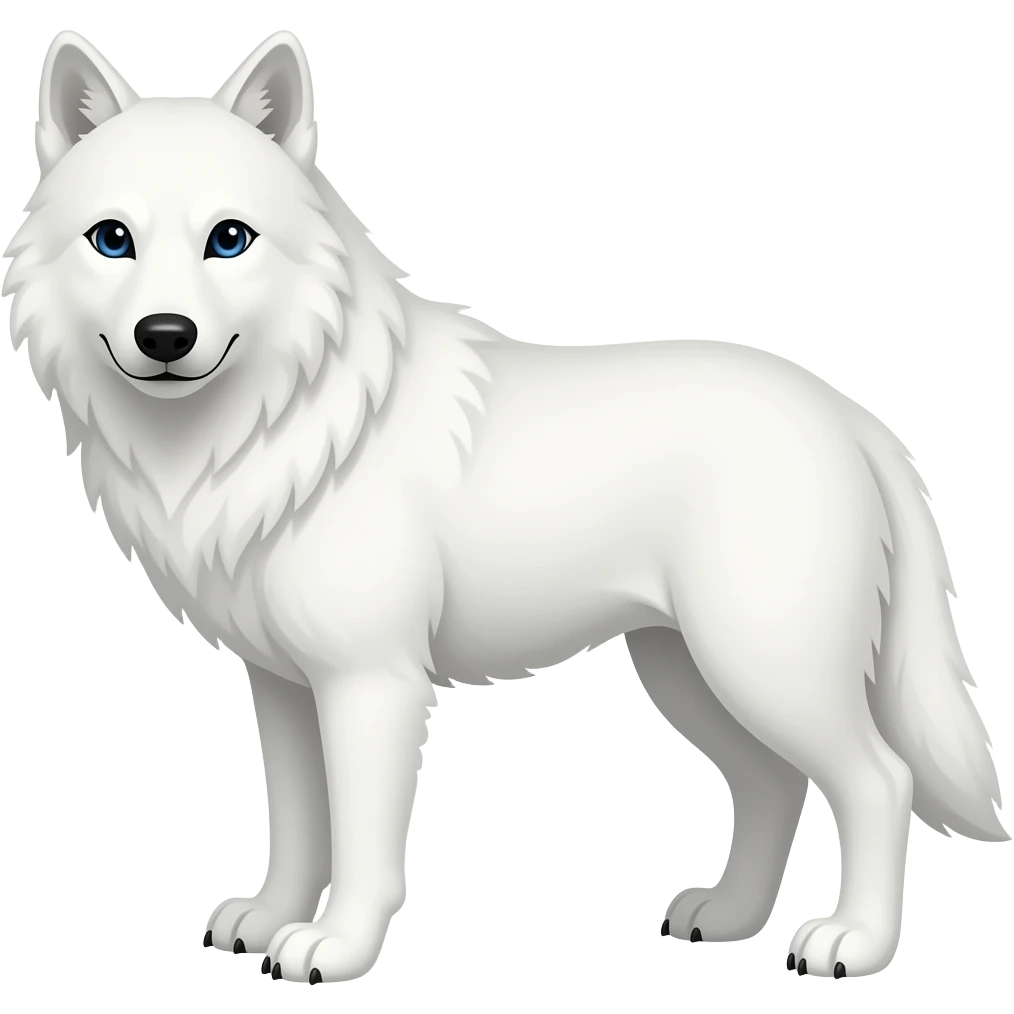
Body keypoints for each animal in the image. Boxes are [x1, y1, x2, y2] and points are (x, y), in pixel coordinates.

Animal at [4, 28, 1006, 985]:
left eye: (229, 239)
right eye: (112, 240)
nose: (165, 336)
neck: (282, 427)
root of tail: (852, 416)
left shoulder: (372, 684)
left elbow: (363, 846)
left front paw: (334, 948)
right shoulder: (282, 687)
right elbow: (294, 826)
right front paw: (267, 920)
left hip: (765, 666)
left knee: (878, 780)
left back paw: (852, 945)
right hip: (690, 672)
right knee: (773, 786)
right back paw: (727, 918)